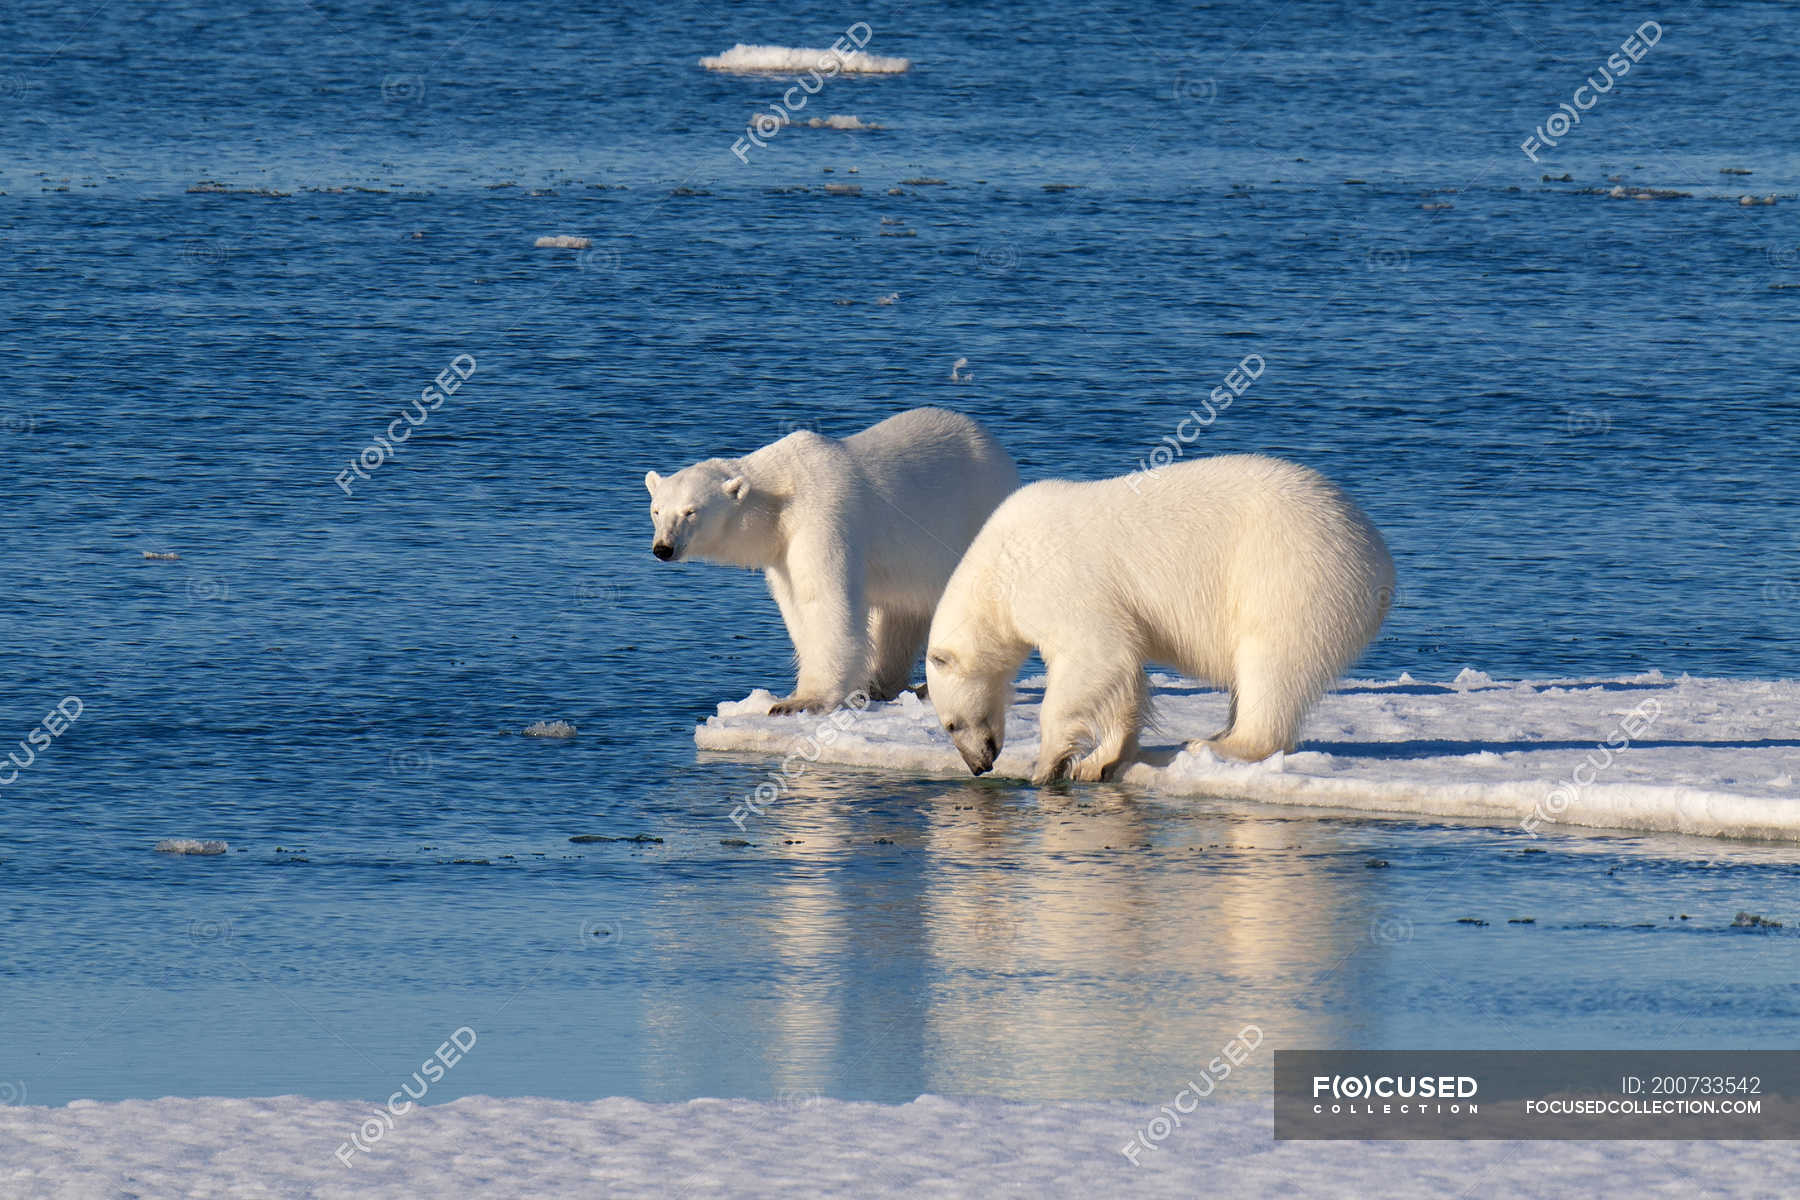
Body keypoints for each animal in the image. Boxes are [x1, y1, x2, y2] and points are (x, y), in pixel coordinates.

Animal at [648, 410, 1022, 712]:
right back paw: (883, 684)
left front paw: (802, 701)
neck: (781, 492)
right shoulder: (782, 549)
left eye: (691, 511)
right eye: (657, 510)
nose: (663, 548)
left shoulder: (822, 518)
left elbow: (823, 599)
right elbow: (796, 605)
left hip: (977, 514)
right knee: (901, 614)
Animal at [921, 455, 1396, 784]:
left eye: (950, 723)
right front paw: (1099, 761)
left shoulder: (1060, 584)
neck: (999, 567)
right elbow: (1123, 674)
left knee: (1271, 662)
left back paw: (1220, 742)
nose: (979, 765)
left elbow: (1095, 655)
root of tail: (1380, 562)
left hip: (1289, 576)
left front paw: (1048, 764)